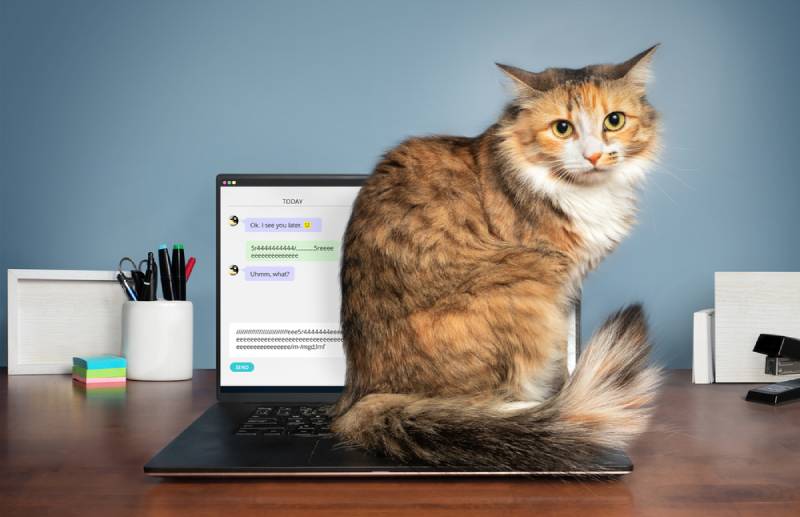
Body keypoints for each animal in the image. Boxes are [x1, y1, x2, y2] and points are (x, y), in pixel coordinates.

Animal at [332, 46, 664, 470]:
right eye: (562, 128)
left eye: (614, 121)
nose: (593, 156)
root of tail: (360, 396)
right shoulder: (559, 275)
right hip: (524, 287)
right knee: (486, 404)